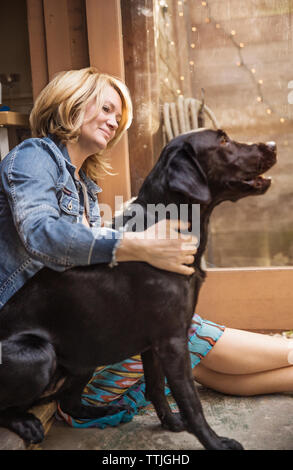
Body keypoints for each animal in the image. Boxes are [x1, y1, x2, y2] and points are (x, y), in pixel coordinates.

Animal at [0, 127, 274, 448]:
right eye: (222, 141)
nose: (273, 145)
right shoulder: (172, 340)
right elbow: (190, 401)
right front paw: (215, 442)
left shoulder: (152, 344)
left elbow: (156, 387)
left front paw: (171, 423)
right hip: (41, 355)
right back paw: (26, 423)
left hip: (86, 351)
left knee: (69, 401)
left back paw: (105, 409)